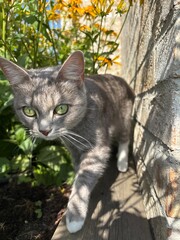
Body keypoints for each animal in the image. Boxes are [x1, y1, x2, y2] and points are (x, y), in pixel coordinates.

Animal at [0, 50, 134, 232]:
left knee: (125, 138)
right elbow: (78, 170)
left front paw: (74, 216)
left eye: (61, 108)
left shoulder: (97, 149)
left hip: (123, 117)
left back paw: (122, 162)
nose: (44, 130)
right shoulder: (73, 149)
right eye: (29, 111)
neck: (75, 130)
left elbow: (83, 178)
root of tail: (122, 81)